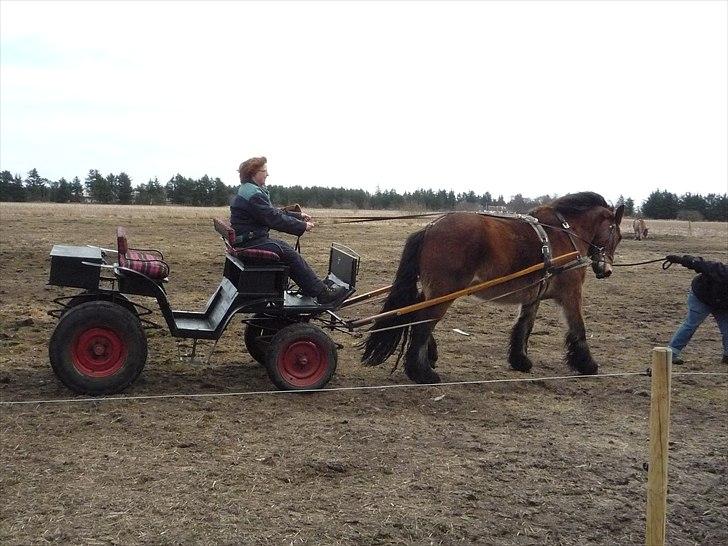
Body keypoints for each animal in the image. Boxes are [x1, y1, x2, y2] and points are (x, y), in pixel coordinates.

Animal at [362, 191, 624, 382]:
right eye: (618, 235)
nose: (606, 270)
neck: (565, 234)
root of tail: (430, 227)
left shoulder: (534, 295)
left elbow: (524, 327)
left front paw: (520, 361)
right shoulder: (571, 293)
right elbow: (578, 328)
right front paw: (587, 364)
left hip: (434, 291)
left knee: (415, 315)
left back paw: (428, 359)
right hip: (444, 291)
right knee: (422, 322)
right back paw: (422, 373)